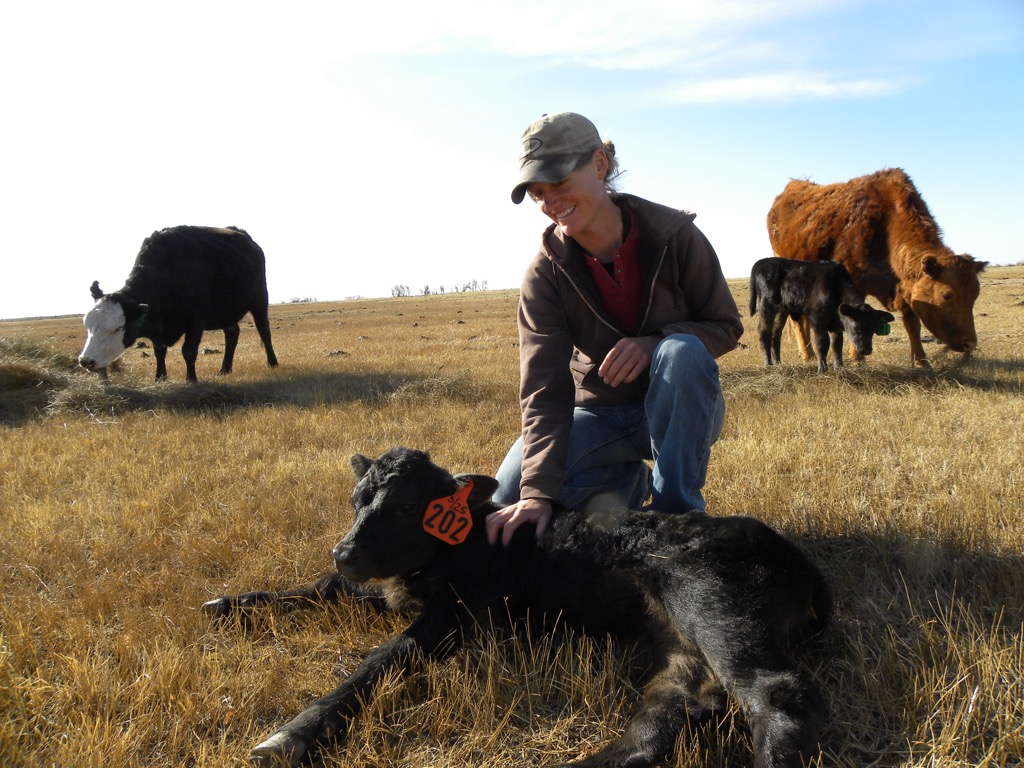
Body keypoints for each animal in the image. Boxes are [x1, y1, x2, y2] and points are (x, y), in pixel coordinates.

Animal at [79, 225, 278, 382]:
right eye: (87, 325)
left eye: (118, 328)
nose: (86, 361)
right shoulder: (158, 326)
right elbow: (159, 351)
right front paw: (160, 378)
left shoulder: (195, 321)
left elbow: (189, 351)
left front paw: (191, 380)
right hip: (227, 313)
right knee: (232, 334)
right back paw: (224, 369)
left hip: (259, 300)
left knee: (264, 330)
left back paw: (272, 363)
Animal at [203, 447, 833, 768]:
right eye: (358, 500)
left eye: (407, 506)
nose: (346, 551)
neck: (460, 542)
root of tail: (795, 555)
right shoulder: (378, 589)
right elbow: (315, 587)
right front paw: (230, 602)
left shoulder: (454, 617)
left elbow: (382, 658)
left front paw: (292, 734)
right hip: (681, 643)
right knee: (665, 717)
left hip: (713, 607)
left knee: (775, 693)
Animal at [749, 257, 895, 373]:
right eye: (857, 327)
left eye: (874, 329)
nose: (866, 350)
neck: (835, 288)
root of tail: (762, 262)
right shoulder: (817, 321)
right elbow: (822, 343)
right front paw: (822, 369)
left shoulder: (836, 325)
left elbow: (837, 344)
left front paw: (839, 367)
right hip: (767, 306)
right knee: (764, 332)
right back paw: (768, 364)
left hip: (782, 310)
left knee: (776, 334)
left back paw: (778, 362)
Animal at [766, 168, 986, 367]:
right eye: (947, 295)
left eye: (975, 294)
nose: (970, 343)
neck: (887, 221)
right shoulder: (854, 280)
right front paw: (857, 357)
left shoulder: (904, 286)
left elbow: (912, 325)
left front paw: (921, 362)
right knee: (796, 320)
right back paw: (808, 354)